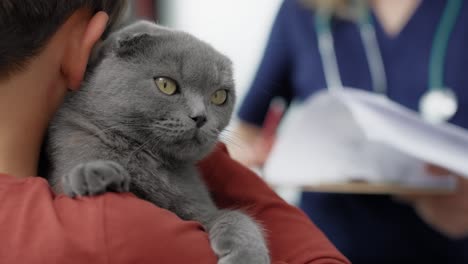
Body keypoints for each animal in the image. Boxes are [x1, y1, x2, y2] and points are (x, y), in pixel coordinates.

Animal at [46, 21, 270, 264]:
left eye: (220, 96)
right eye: (165, 85)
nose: (200, 117)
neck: (148, 160)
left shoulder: (200, 210)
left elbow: (235, 217)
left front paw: (248, 256)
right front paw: (91, 172)